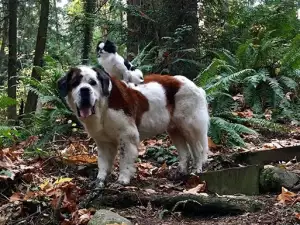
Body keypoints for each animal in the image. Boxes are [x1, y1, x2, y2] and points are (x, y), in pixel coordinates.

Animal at [57, 64, 210, 186]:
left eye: (93, 83)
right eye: (75, 83)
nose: (84, 90)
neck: (104, 105)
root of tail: (196, 86)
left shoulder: (127, 135)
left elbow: (125, 159)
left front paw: (122, 180)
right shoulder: (103, 141)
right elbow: (103, 162)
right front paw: (100, 180)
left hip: (189, 125)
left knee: (198, 149)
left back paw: (196, 171)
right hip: (175, 129)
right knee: (185, 152)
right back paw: (181, 172)